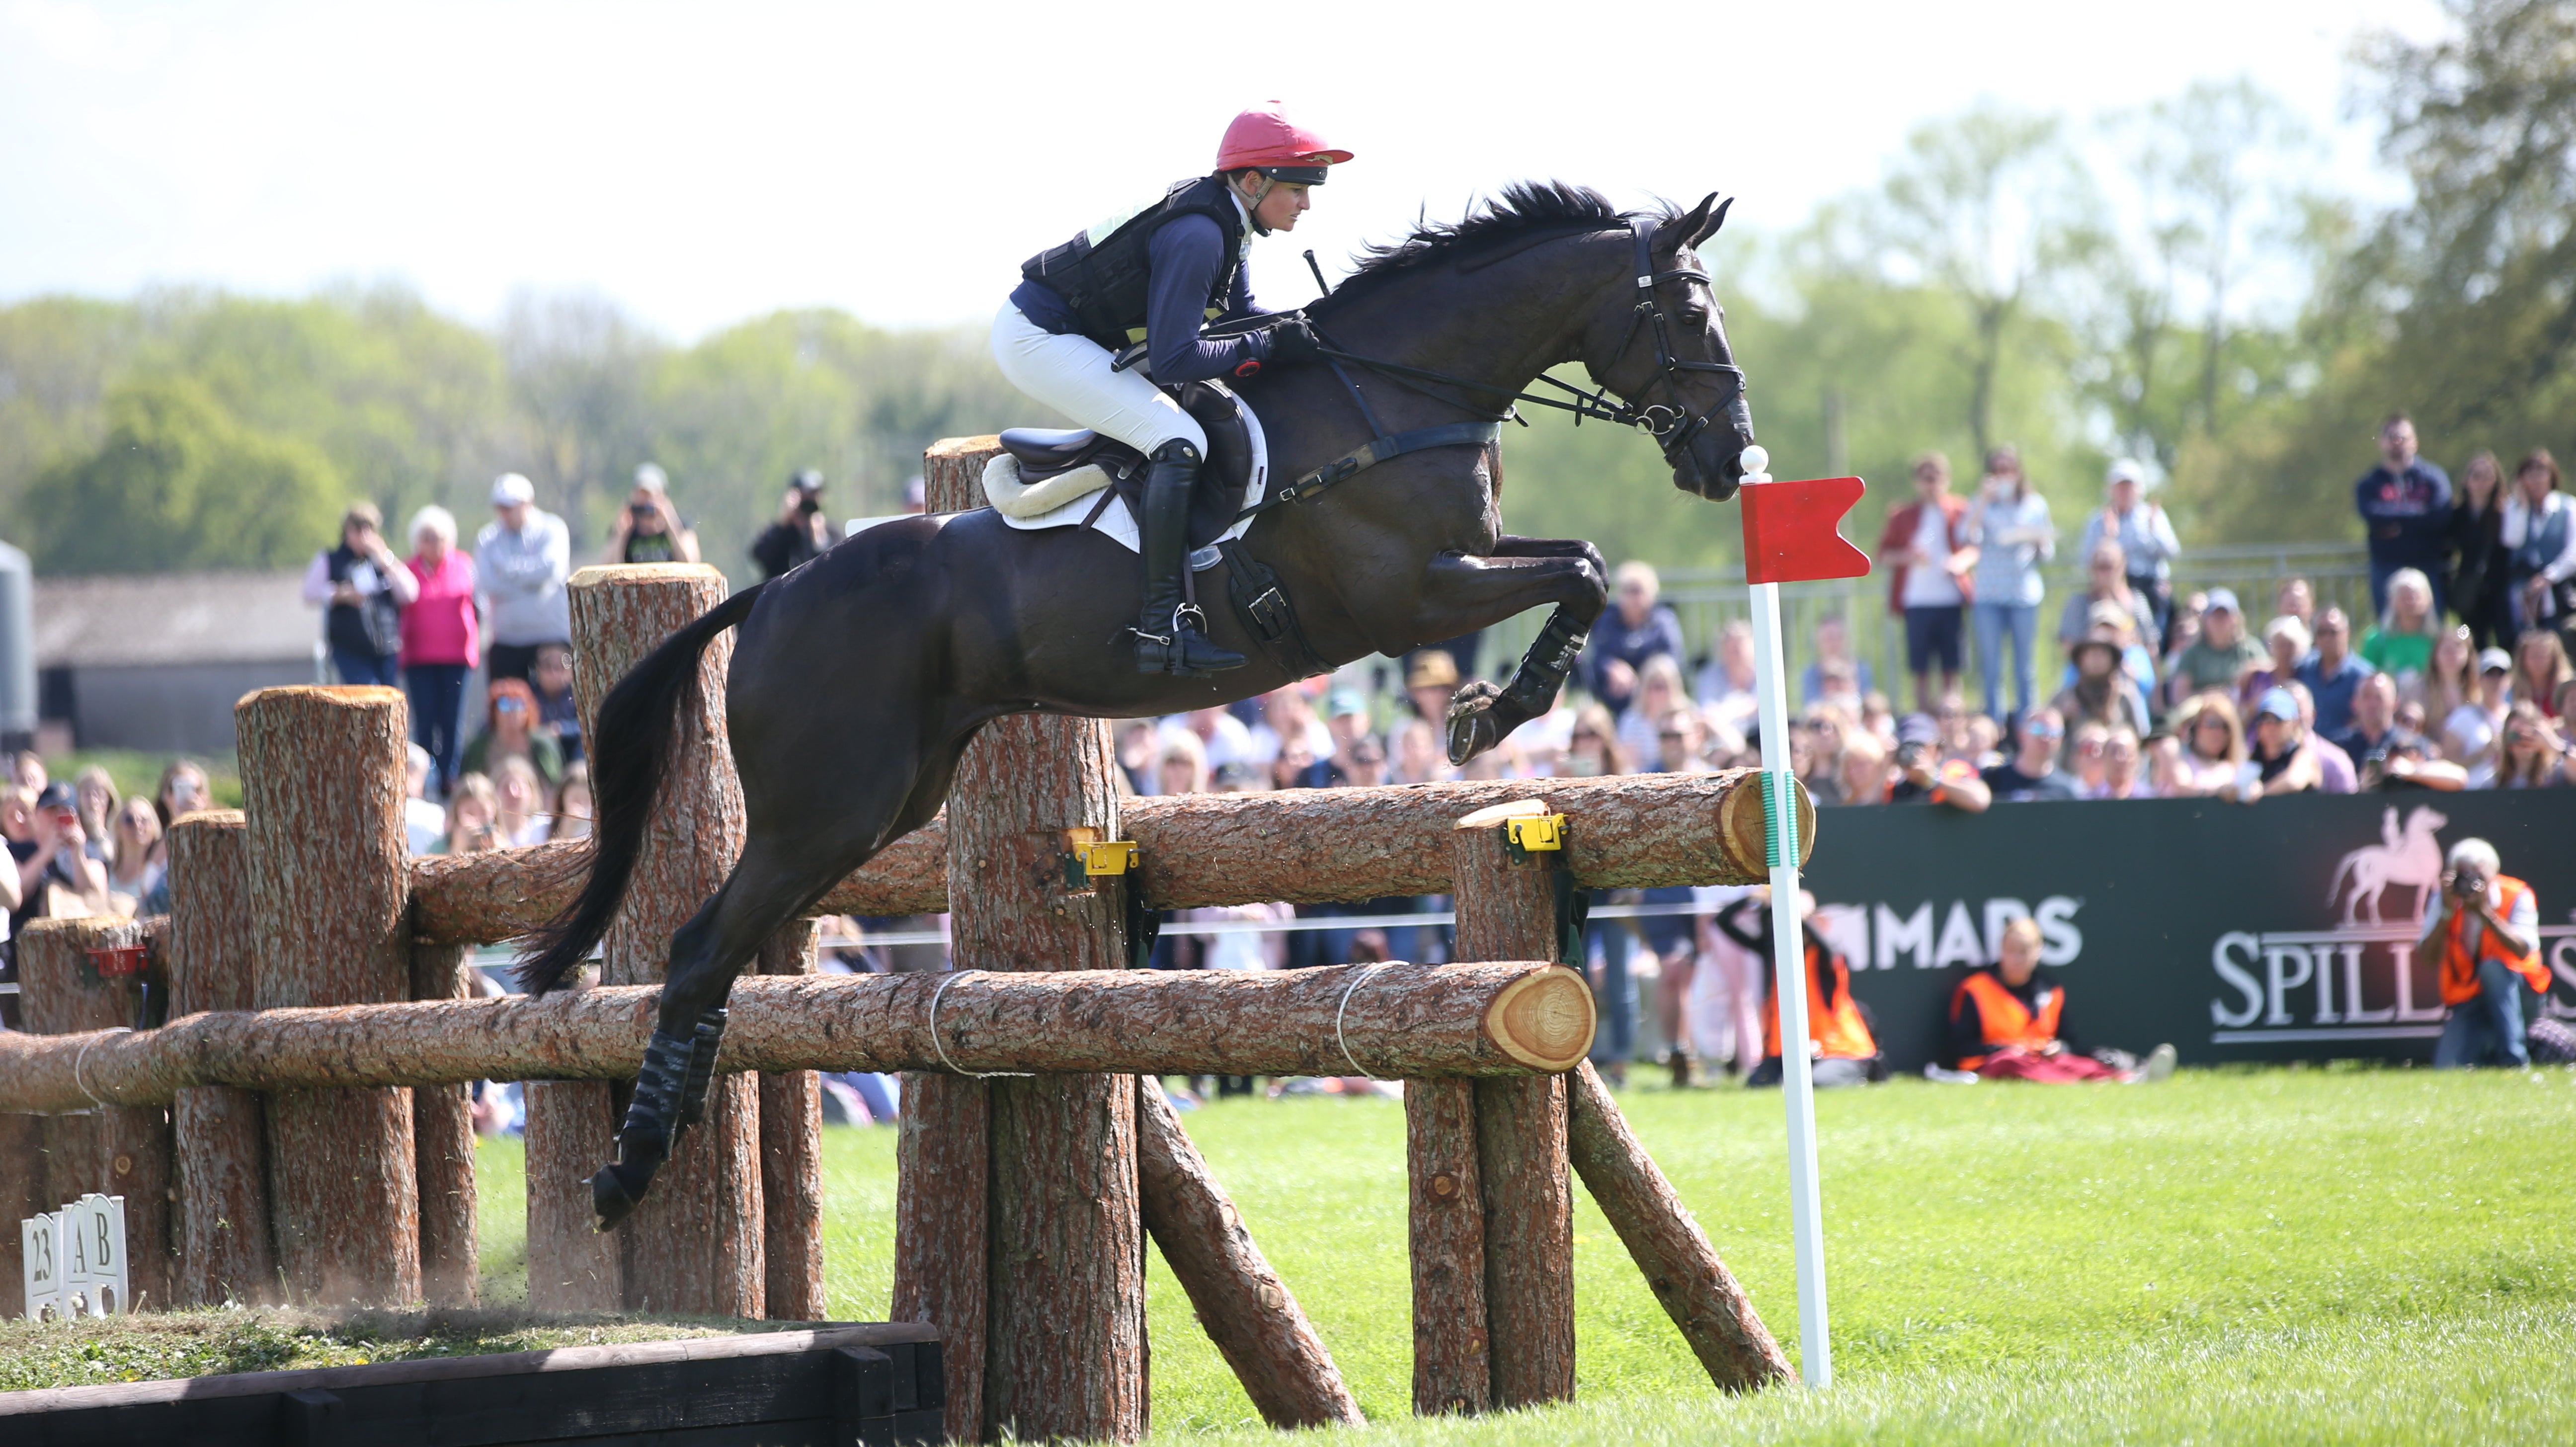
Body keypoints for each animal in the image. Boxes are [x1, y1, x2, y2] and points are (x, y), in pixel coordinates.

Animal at [522, 182, 1762, 1228]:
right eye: (1688, 310)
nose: (1730, 457)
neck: (1396, 389)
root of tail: (775, 589)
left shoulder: (1466, 564)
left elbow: (1584, 565)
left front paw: (1498, 702)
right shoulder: (1410, 596)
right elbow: (1580, 576)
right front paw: (1492, 713)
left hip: (881, 805)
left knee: (726, 954)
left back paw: (666, 1132)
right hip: (827, 807)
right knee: (697, 948)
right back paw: (629, 1168)